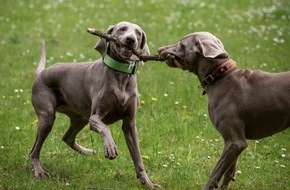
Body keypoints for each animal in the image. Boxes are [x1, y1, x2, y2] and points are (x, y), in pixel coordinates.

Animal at [29, 21, 159, 189]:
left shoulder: (130, 124)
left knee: (67, 138)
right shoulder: (95, 118)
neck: (120, 74)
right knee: (34, 151)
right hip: (48, 117)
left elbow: (138, 157)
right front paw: (110, 147)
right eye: (122, 29)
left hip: (80, 118)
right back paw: (39, 172)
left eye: (138, 33)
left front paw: (148, 182)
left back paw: (87, 151)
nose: (131, 40)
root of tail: (41, 73)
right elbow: (105, 128)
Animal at [159, 31, 290, 189]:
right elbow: (228, 172)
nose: (159, 49)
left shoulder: (235, 142)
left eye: (181, 44)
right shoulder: (235, 142)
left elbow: (215, 173)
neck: (220, 76)